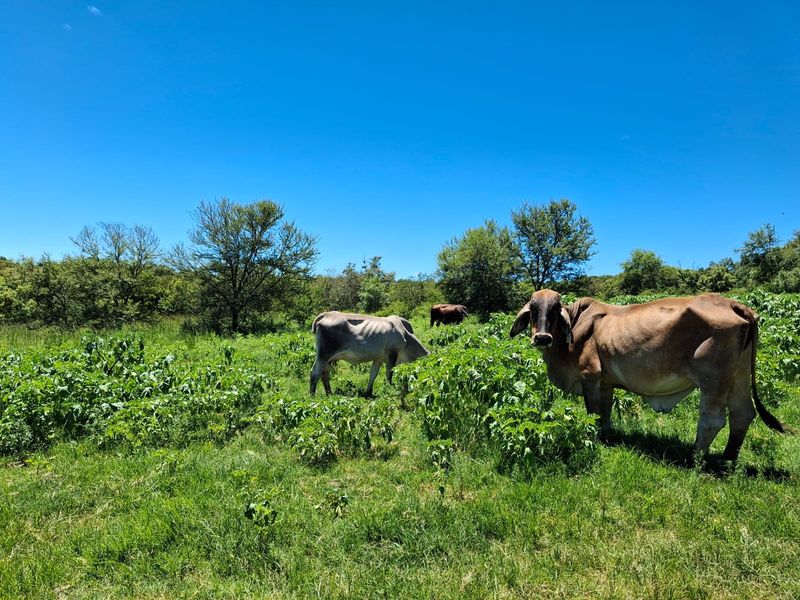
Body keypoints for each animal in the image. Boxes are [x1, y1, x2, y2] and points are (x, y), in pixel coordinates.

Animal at [510, 289, 786, 462]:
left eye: (555, 309)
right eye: (533, 308)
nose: (542, 337)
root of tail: (735, 305)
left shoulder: (590, 375)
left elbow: (593, 412)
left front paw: (594, 436)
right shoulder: (605, 382)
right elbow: (605, 411)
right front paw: (606, 435)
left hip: (713, 380)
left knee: (713, 420)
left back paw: (694, 458)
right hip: (738, 376)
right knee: (742, 414)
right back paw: (728, 459)